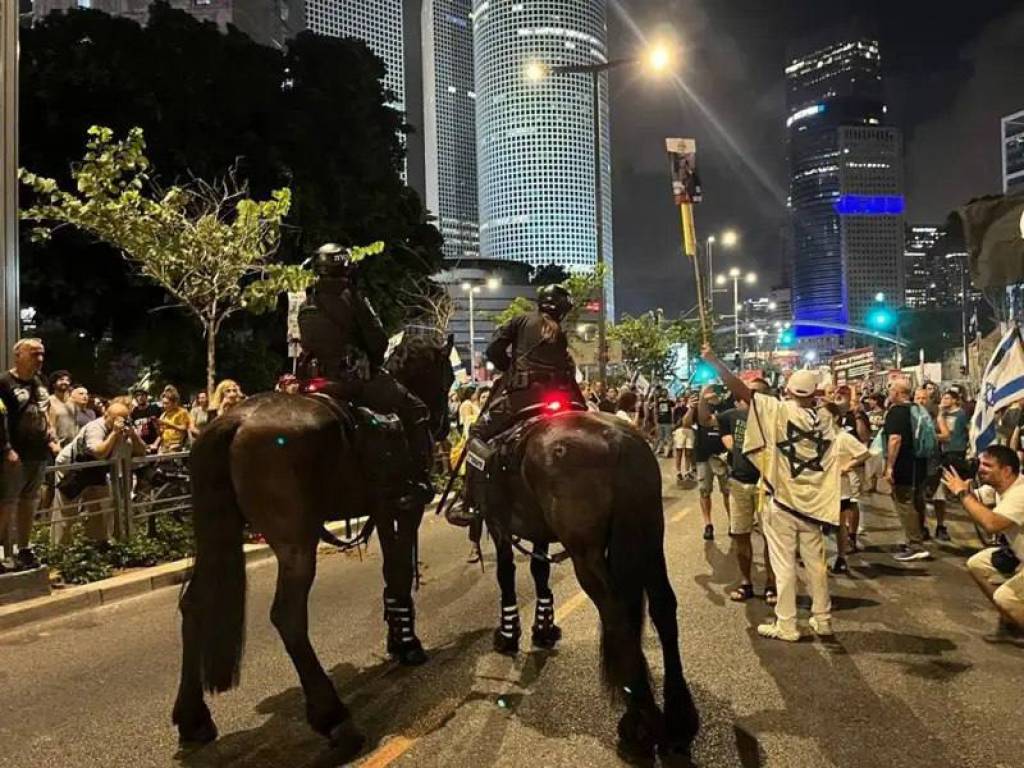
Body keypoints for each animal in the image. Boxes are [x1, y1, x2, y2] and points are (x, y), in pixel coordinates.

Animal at [172, 332, 454, 752]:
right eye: (447, 375)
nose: (444, 423)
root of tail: (236, 419)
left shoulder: (382, 510)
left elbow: (392, 572)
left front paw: (397, 635)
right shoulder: (406, 507)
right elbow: (401, 570)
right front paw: (407, 642)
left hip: (219, 535)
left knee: (193, 604)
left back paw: (193, 718)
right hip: (296, 544)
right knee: (288, 616)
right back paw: (333, 717)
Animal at [474, 403, 701, 760]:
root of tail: (619, 440)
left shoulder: (498, 526)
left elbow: (506, 575)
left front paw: (509, 634)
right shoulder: (537, 532)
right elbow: (539, 573)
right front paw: (544, 627)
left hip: (587, 555)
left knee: (617, 615)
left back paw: (640, 724)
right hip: (650, 536)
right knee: (663, 608)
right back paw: (679, 719)